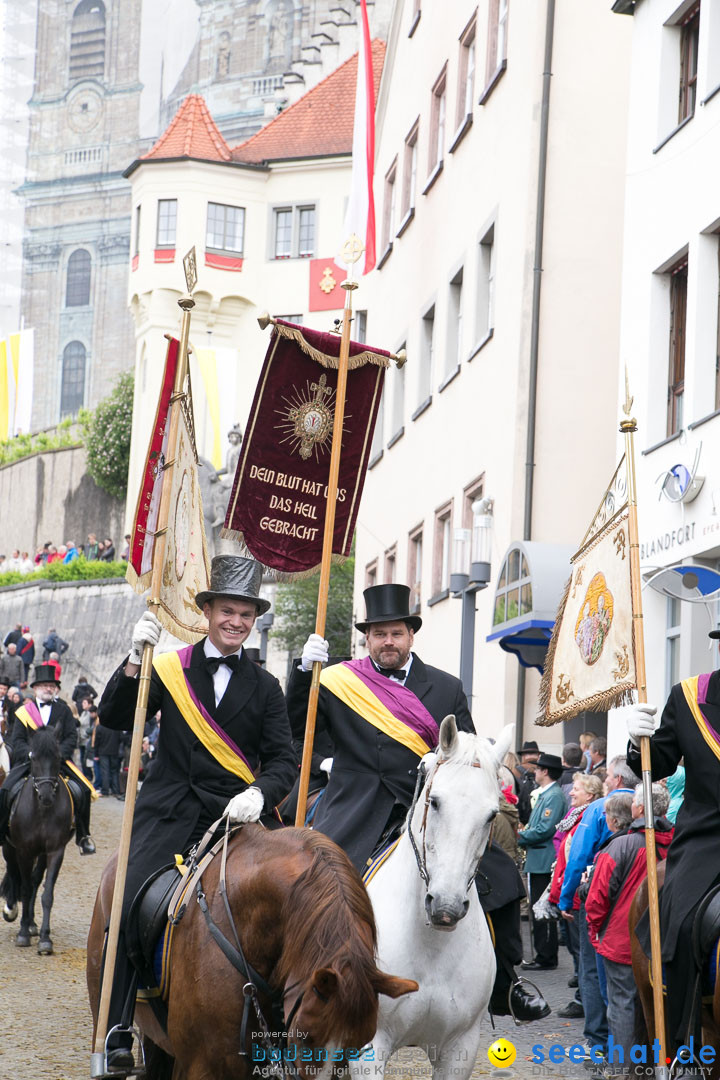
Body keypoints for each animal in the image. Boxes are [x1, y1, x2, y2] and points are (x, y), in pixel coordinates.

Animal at [0, 725, 73, 954]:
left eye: (58, 757)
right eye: (32, 757)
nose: (47, 796)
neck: (42, 812)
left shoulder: (55, 851)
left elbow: (46, 893)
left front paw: (44, 938)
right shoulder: (24, 850)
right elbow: (23, 888)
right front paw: (22, 933)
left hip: (40, 854)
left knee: (34, 880)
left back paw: (32, 923)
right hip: (10, 848)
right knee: (15, 874)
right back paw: (12, 911)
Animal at [351, 717, 515, 1080]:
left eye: (491, 815)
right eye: (436, 801)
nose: (445, 907)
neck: (430, 945)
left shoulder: (460, 1047)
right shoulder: (368, 1047)